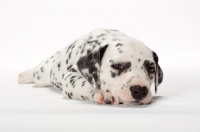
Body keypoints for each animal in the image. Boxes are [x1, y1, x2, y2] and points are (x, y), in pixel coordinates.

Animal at [18, 28, 163, 104]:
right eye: (117, 66)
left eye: (151, 69)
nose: (140, 90)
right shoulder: (71, 76)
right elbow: (85, 84)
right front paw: (100, 92)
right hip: (41, 74)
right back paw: (25, 75)